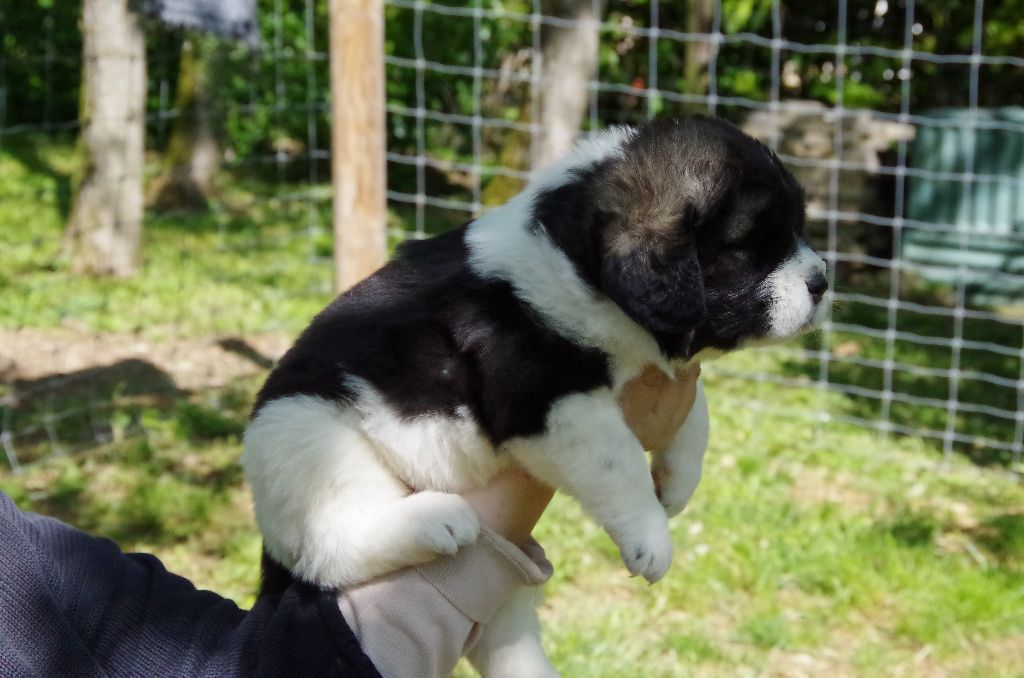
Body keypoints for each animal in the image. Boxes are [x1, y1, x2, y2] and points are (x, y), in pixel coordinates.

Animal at [242, 116, 828, 675]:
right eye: (748, 245)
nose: (823, 281)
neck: (577, 267)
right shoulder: (552, 401)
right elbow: (619, 464)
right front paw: (652, 537)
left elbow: (696, 413)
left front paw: (679, 481)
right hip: (306, 436)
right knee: (326, 546)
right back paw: (433, 521)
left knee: (499, 635)